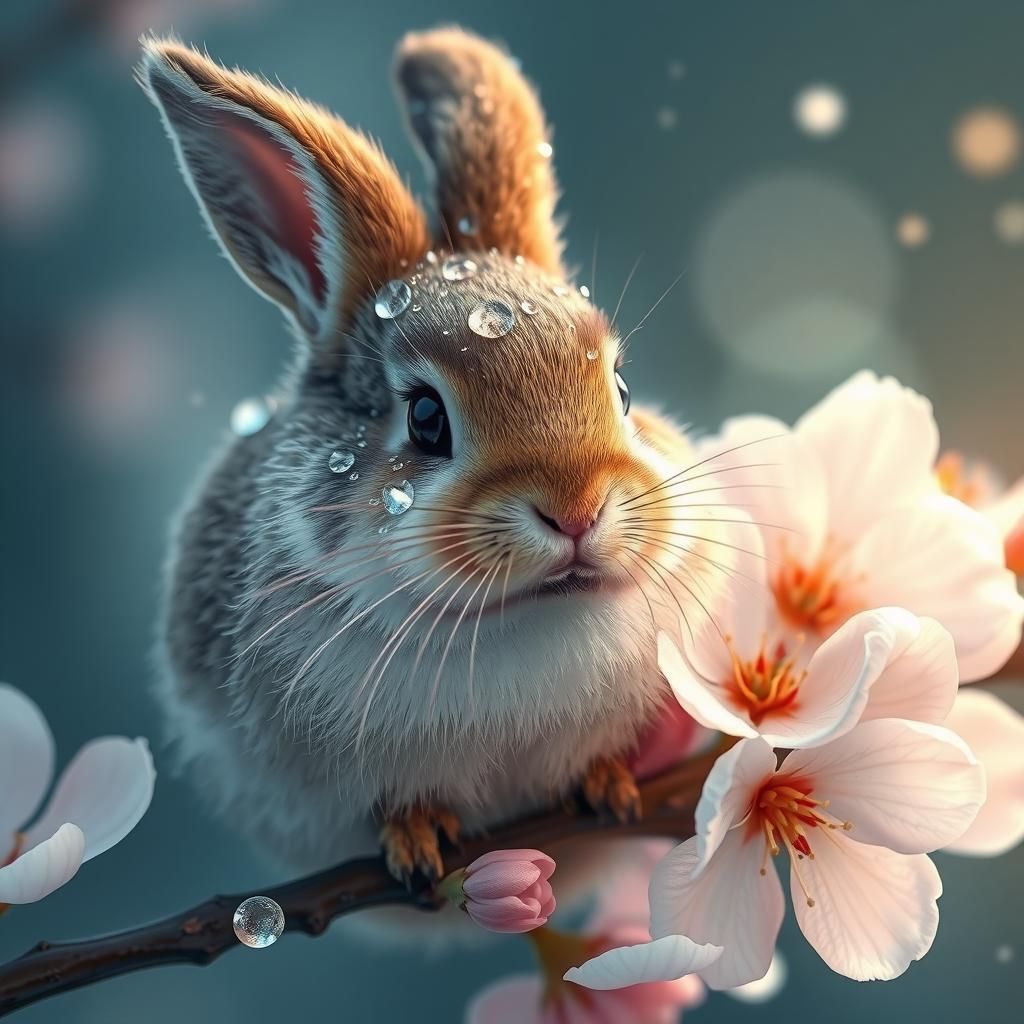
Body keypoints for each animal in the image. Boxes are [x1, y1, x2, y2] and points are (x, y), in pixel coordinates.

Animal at [138, 27, 739, 904]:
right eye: (425, 419)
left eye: (623, 391)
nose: (577, 511)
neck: (526, 614)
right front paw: (415, 838)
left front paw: (609, 784)